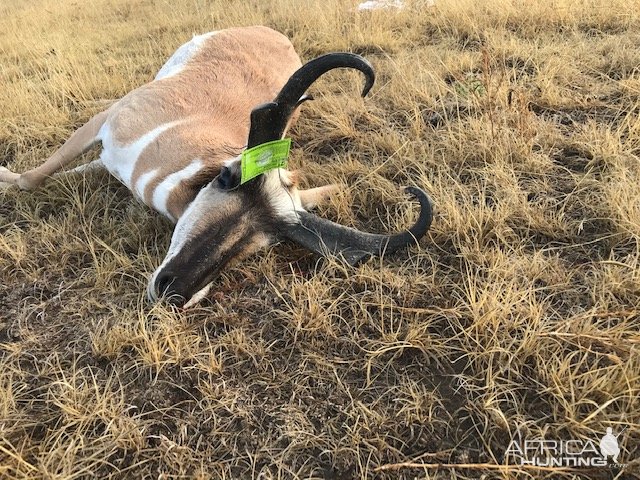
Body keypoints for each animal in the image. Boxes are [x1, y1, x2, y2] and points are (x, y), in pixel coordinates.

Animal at [0, 25, 432, 308]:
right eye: (227, 176)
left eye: (274, 238)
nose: (175, 291)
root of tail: (271, 32)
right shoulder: (103, 125)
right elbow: (32, 179)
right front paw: (8, 178)